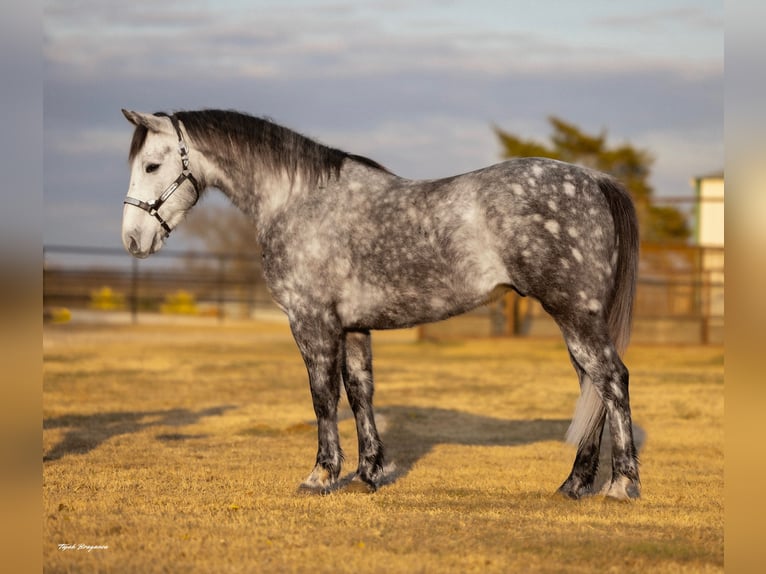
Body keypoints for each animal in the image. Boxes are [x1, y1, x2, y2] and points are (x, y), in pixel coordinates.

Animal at [121, 109, 640, 500]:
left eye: (151, 166)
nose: (132, 240)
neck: (298, 200)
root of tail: (594, 179)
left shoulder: (311, 321)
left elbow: (323, 396)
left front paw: (321, 475)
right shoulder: (352, 326)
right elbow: (360, 392)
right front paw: (367, 473)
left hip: (574, 314)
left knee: (611, 381)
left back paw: (621, 485)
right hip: (575, 318)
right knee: (592, 388)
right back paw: (574, 484)